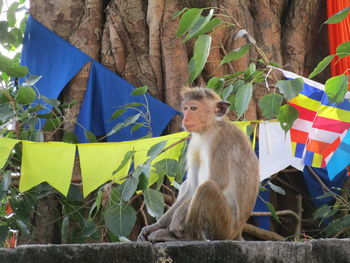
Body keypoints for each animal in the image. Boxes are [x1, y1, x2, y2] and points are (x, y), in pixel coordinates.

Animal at [137, 87, 260, 243]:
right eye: (185, 108)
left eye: (194, 108)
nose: (185, 118)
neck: (209, 129)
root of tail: (237, 233)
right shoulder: (194, 143)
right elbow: (192, 185)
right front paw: (155, 226)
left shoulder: (222, 140)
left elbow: (218, 181)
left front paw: (177, 216)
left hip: (225, 227)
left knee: (206, 188)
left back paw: (187, 237)